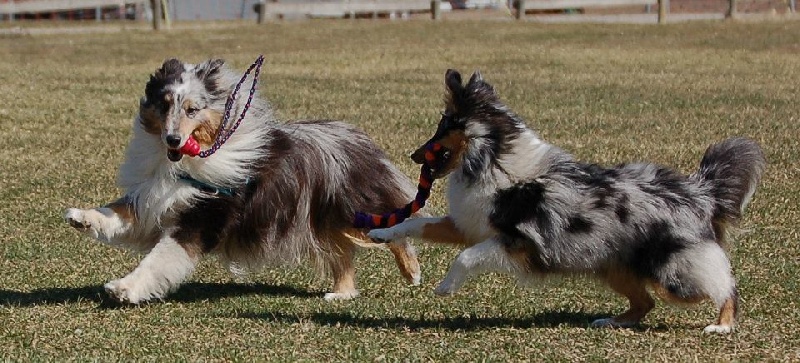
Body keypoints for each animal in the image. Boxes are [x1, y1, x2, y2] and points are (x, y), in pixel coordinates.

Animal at [368, 69, 764, 334]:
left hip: (674, 271)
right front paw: (381, 233)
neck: (495, 159)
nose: (413, 155)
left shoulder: (517, 242)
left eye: (444, 126)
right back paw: (610, 321)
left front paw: (446, 287)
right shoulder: (471, 223)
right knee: (645, 301)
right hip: (614, 266)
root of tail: (700, 191)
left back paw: (722, 325)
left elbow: (466, 257)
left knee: (723, 284)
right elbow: (418, 222)